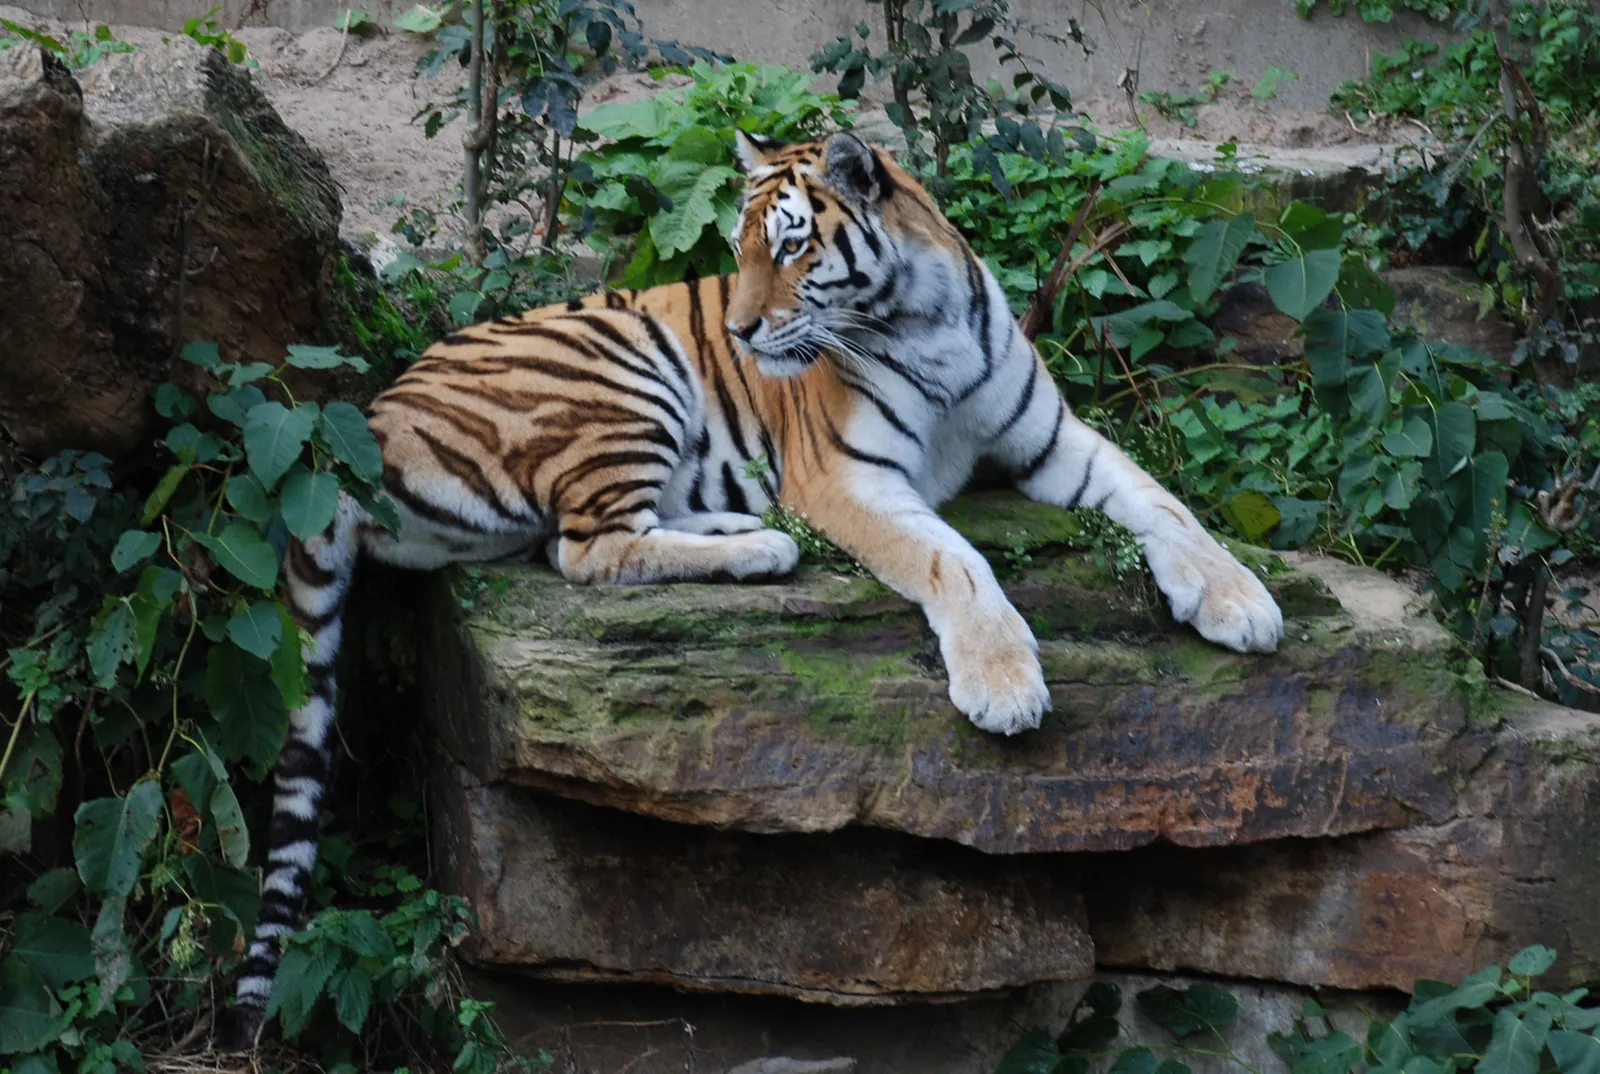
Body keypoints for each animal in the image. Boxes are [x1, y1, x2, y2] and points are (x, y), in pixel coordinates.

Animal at [217, 130, 1283, 1050]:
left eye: (793, 246)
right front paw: (1004, 684)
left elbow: (1165, 504)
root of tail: (358, 431)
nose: (736, 328)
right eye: (737, 249)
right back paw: (763, 548)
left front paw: (1242, 601)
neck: (925, 318)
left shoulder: (1055, 440)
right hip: (624, 366)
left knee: (576, 537)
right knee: (585, 549)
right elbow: (955, 560)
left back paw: (741, 529)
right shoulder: (849, 479)